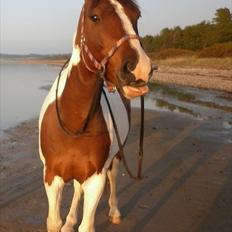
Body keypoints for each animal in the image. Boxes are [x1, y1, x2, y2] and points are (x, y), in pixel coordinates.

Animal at [39, 0, 153, 232]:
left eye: (136, 16)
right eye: (94, 17)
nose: (139, 69)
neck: (75, 124)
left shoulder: (95, 180)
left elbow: (86, 224)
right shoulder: (51, 177)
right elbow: (54, 221)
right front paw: (66, 222)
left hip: (116, 157)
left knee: (113, 178)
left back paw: (114, 212)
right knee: (77, 189)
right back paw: (70, 221)